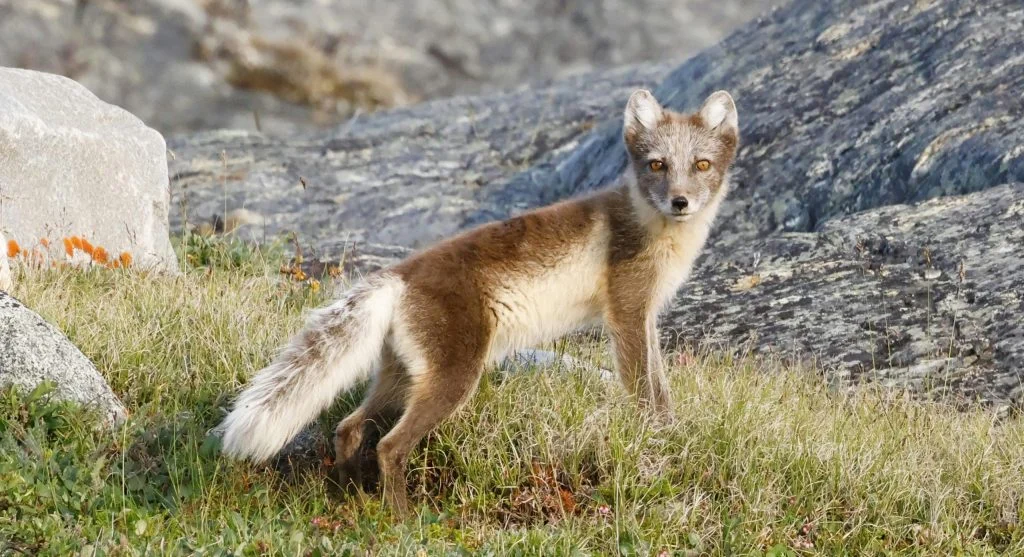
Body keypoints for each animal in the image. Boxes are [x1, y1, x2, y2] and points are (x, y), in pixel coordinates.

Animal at [218, 88, 740, 514]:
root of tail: (399, 274)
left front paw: (674, 432)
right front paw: (657, 439)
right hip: (455, 378)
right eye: (656, 165)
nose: (679, 202)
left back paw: (349, 496)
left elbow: (662, 386)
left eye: (701, 165)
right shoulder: (626, 313)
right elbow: (643, 390)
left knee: (349, 427)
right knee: (389, 446)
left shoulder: (646, 316)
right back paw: (403, 521)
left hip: (402, 378)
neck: (658, 232)